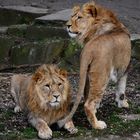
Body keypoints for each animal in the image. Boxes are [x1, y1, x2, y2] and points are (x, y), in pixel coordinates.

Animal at [57, 1, 131, 130]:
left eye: (79, 17)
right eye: (72, 16)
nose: (67, 25)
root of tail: (89, 49)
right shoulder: (124, 68)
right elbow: (121, 89)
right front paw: (123, 104)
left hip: (89, 73)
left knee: (87, 97)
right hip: (102, 76)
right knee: (88, 104)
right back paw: (97, 125)